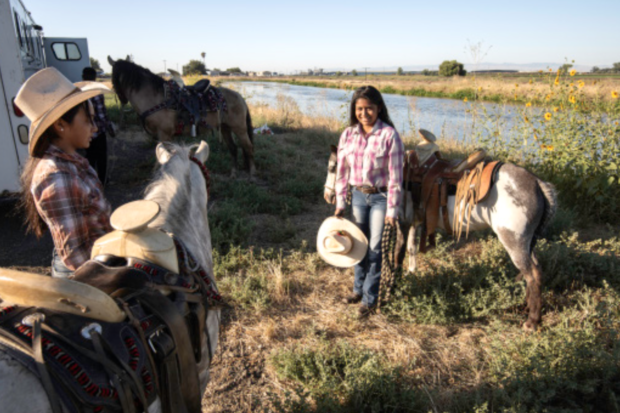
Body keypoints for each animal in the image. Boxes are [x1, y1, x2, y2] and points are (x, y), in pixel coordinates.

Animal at [106, 55, 254, 176]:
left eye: (113, 79)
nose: (122, 99)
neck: (156, 98)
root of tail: (240, 97)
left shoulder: (164, 135)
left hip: (240, 129)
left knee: (248, 147)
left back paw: (251, 174)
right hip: (225, 128)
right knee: (233, 148)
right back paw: (233, 173)